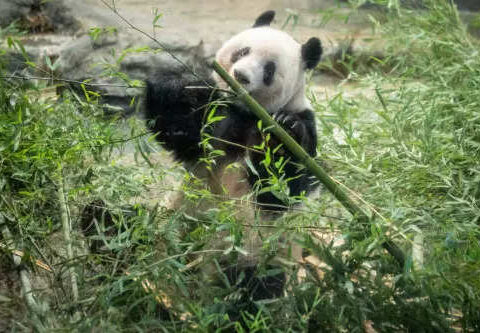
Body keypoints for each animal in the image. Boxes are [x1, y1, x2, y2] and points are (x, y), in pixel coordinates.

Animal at [143, 11, 322, 304]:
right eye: (243, 51)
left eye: (269, 70)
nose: (240, 75)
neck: (248, 112)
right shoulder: (216, 122)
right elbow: (178, 130)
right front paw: (174, 85)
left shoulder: (303, 129)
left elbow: (280, 190)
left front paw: (283, 131)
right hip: (170, 223)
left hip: (254, 253)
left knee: (254, 288)